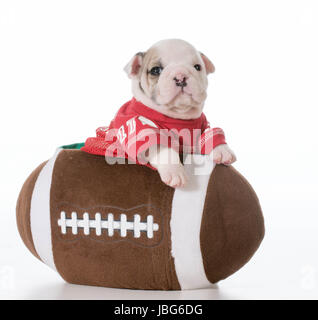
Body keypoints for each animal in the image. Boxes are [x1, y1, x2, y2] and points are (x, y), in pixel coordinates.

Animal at [124, 38, 236, 188]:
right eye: (155, 70)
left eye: (197, 67)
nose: (180, 76)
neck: (178, 116)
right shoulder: (140, 125)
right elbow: (162, 147)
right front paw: (174, 171)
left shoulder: (203, 124)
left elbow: (209, 133)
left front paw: (223, 149)